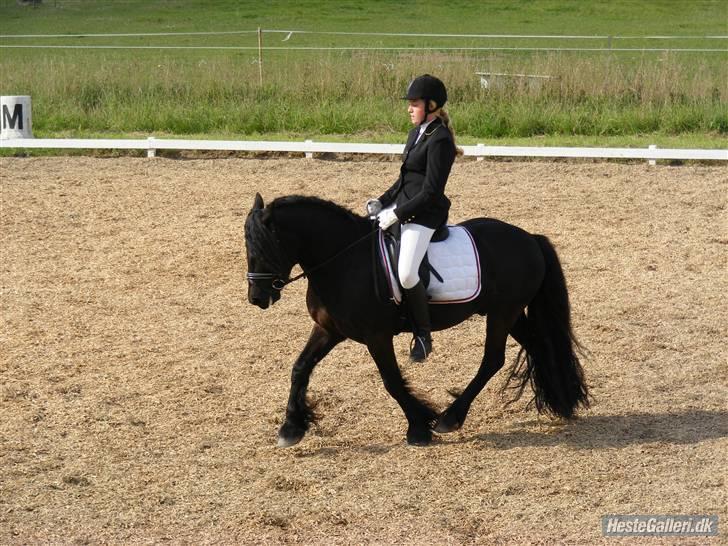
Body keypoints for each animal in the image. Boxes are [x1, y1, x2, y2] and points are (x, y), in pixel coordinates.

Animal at [244, 193, 589, 447]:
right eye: (247, 245)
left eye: (265, 246)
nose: (257, 298)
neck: (343, 260)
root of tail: (529, 238)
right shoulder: (328, 329)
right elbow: (300, 368)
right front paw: (291, 428)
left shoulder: (377, 336)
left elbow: (392, 381)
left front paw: (419, 428)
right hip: (509, 313)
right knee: (538, 345)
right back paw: (562, 401)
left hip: (503, 313)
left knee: (493, 359)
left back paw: (450, 418)